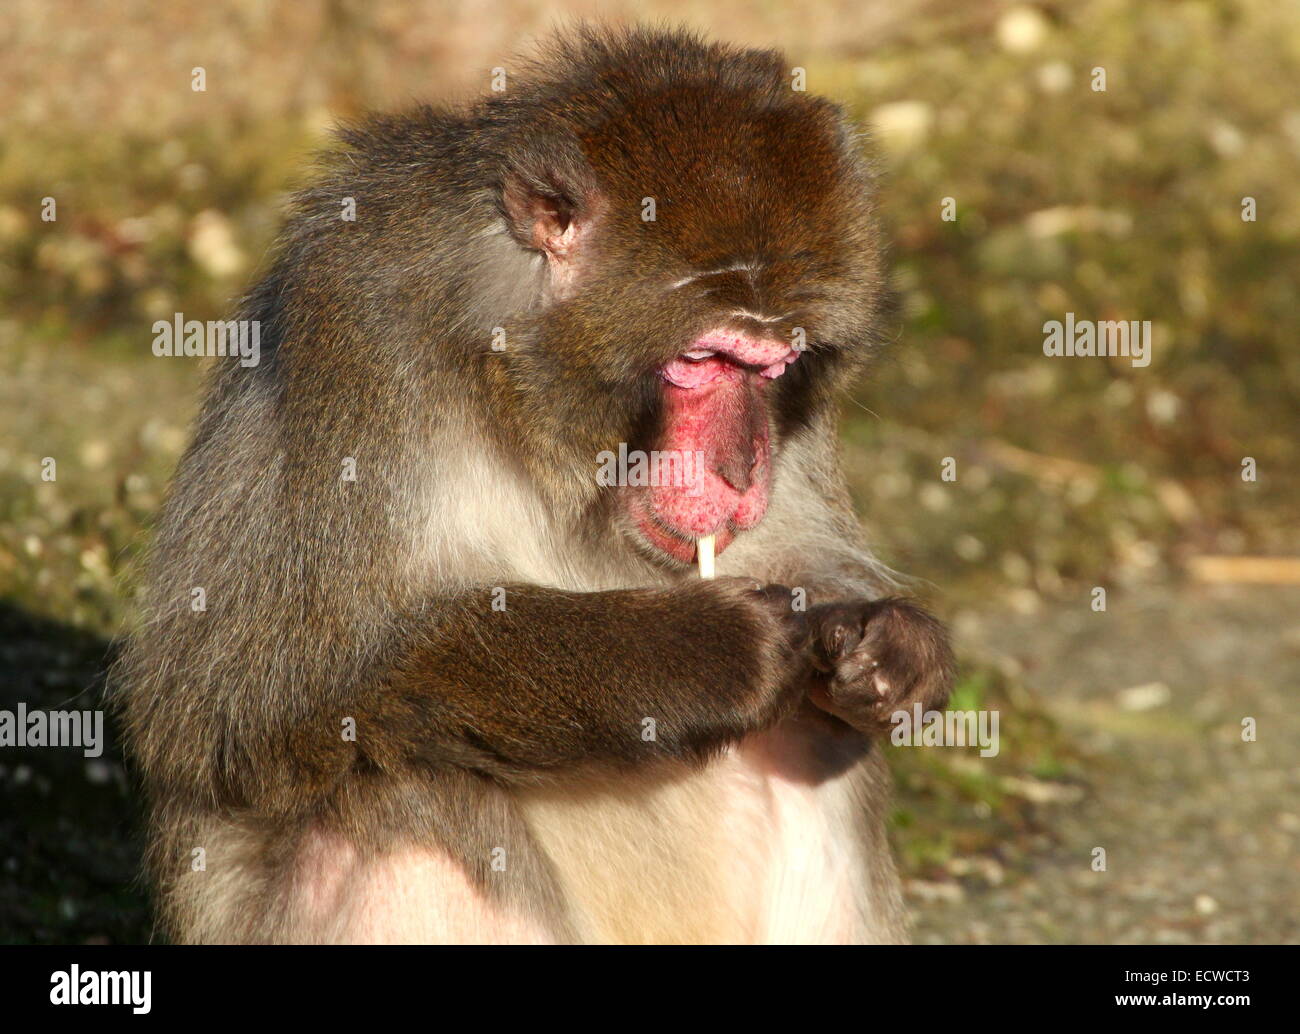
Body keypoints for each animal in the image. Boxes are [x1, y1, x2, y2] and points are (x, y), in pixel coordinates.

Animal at [114, 25, 954, 945]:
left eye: (777, 365)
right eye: (703, 359)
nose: (739, 469)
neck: (519, 394)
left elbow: (816, 573)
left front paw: (893, 644)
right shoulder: (356, 329)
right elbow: (234, 689)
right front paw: (700, 654)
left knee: (822, 743)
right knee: (407, 796)